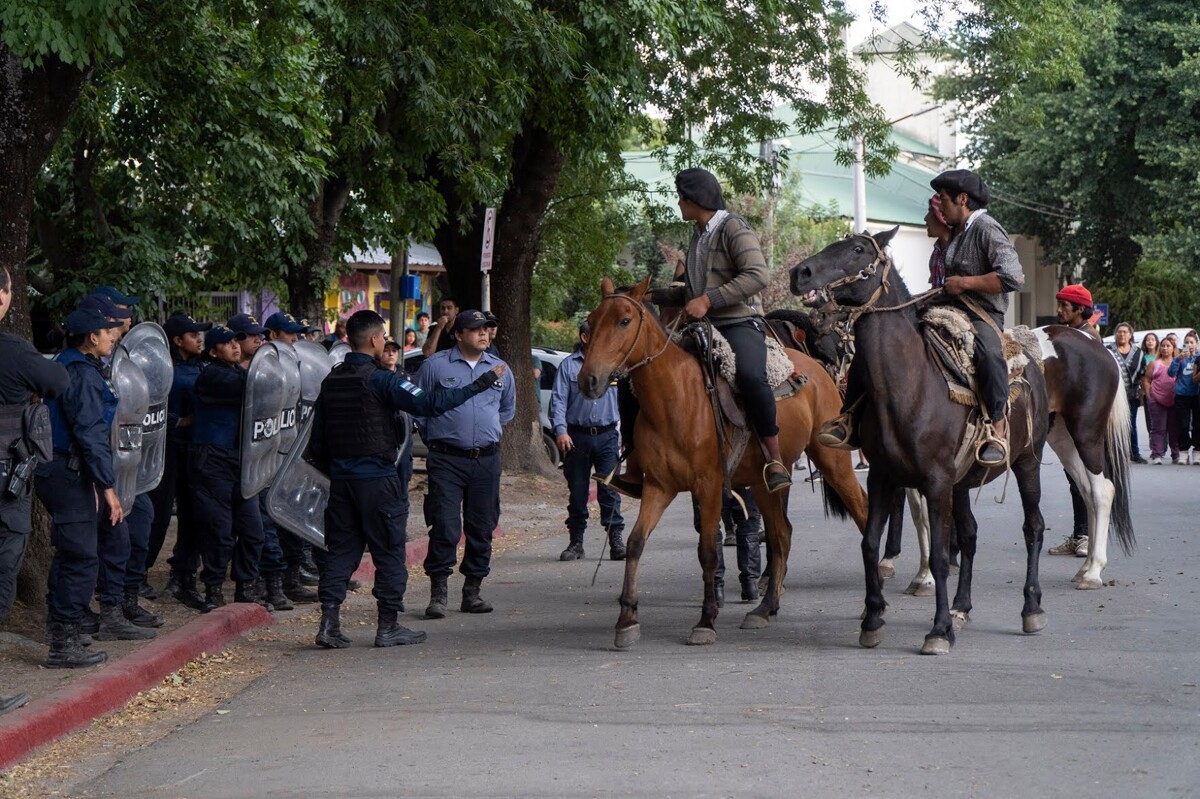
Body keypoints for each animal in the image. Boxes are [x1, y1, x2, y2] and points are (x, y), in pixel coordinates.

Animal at [578, 277, 868, 643]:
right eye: (591, 321)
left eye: (624, 321)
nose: (588, 380)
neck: (674, 396)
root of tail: (818, 371)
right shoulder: (659, 487)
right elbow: (636, 542)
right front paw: (627, 619)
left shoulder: (710, 485)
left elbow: (708, 551)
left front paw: (706, 619)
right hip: (764, 482)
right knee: (781, 534)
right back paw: (765, 608)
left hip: (833, 462)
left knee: (862, 511)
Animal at [792, 226, 1056, 652]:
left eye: (858, 249)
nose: (799, 274)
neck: (910, 386)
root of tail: (1030, 360)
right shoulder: (883, 477)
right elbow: (870, 544)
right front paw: (873, 619)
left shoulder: (934, 482)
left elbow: (938, 557)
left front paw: (938, 630)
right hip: (962, 483)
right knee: (970, 535)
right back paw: (962, 607)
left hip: (1026, 463)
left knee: (1033, 527)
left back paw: (1031, 608)